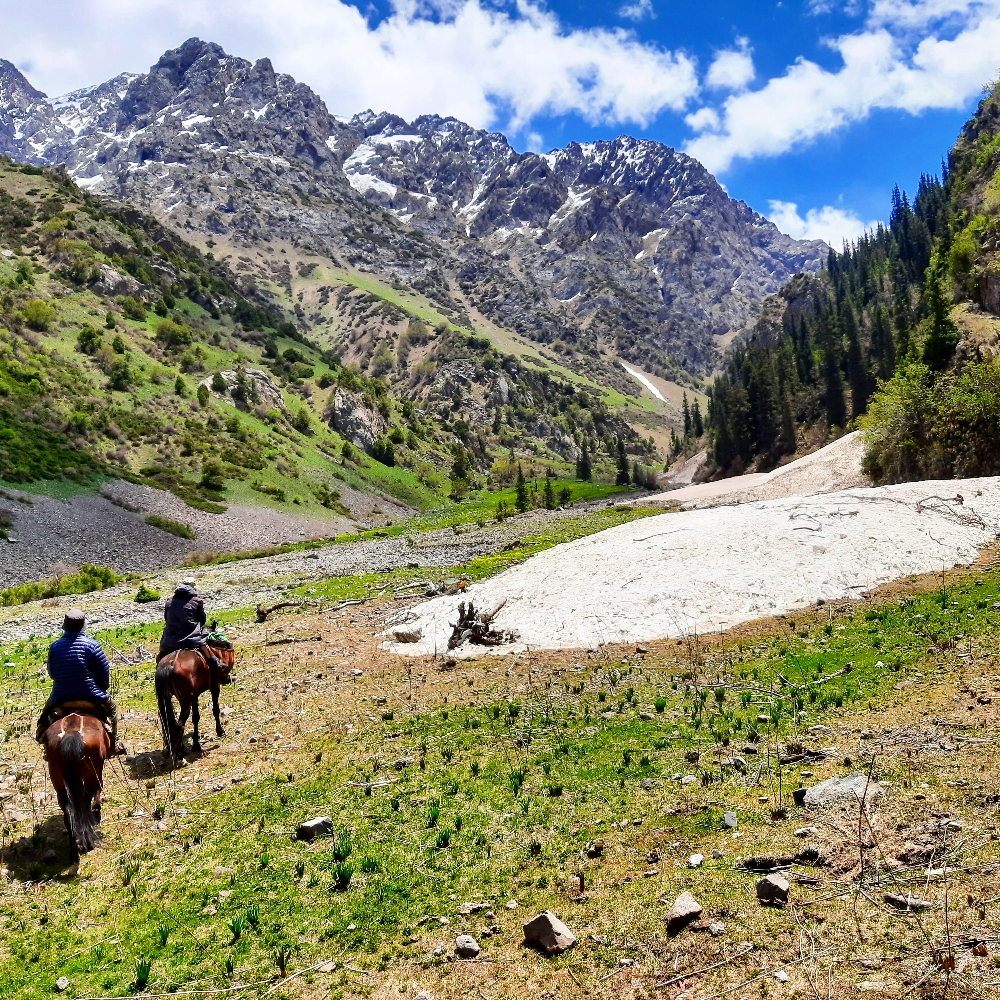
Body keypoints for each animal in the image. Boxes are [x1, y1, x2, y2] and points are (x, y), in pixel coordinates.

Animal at [41, 712, 110, 868]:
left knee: (69, 813)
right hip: (92, 770)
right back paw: (88, 841)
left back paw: (74, 855)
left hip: (58, 780)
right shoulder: (97, 771)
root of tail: (72, 732)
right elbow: (98, 789)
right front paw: (97, 814)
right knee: (85, 801)